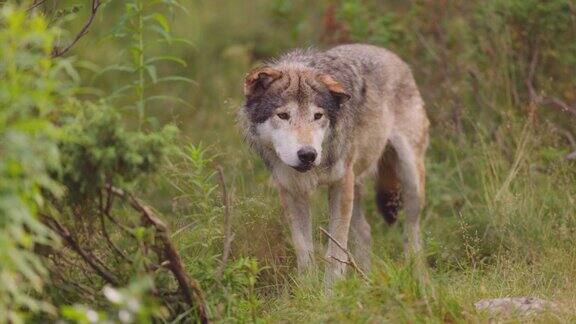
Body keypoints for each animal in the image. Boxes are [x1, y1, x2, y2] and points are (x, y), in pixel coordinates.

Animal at [237, 43, 428, 288]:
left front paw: (331, 292)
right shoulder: (292, 191)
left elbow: (335, 251)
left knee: (412, 234)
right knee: (365, 232)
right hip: (356, 186)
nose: (308, 154)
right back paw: (365, 283)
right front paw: (308, 291)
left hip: (409, 180)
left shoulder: (340, 183)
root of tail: (391, 54)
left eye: (318, 116)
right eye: (283, 115)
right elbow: (304, 250)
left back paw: (419, 281)